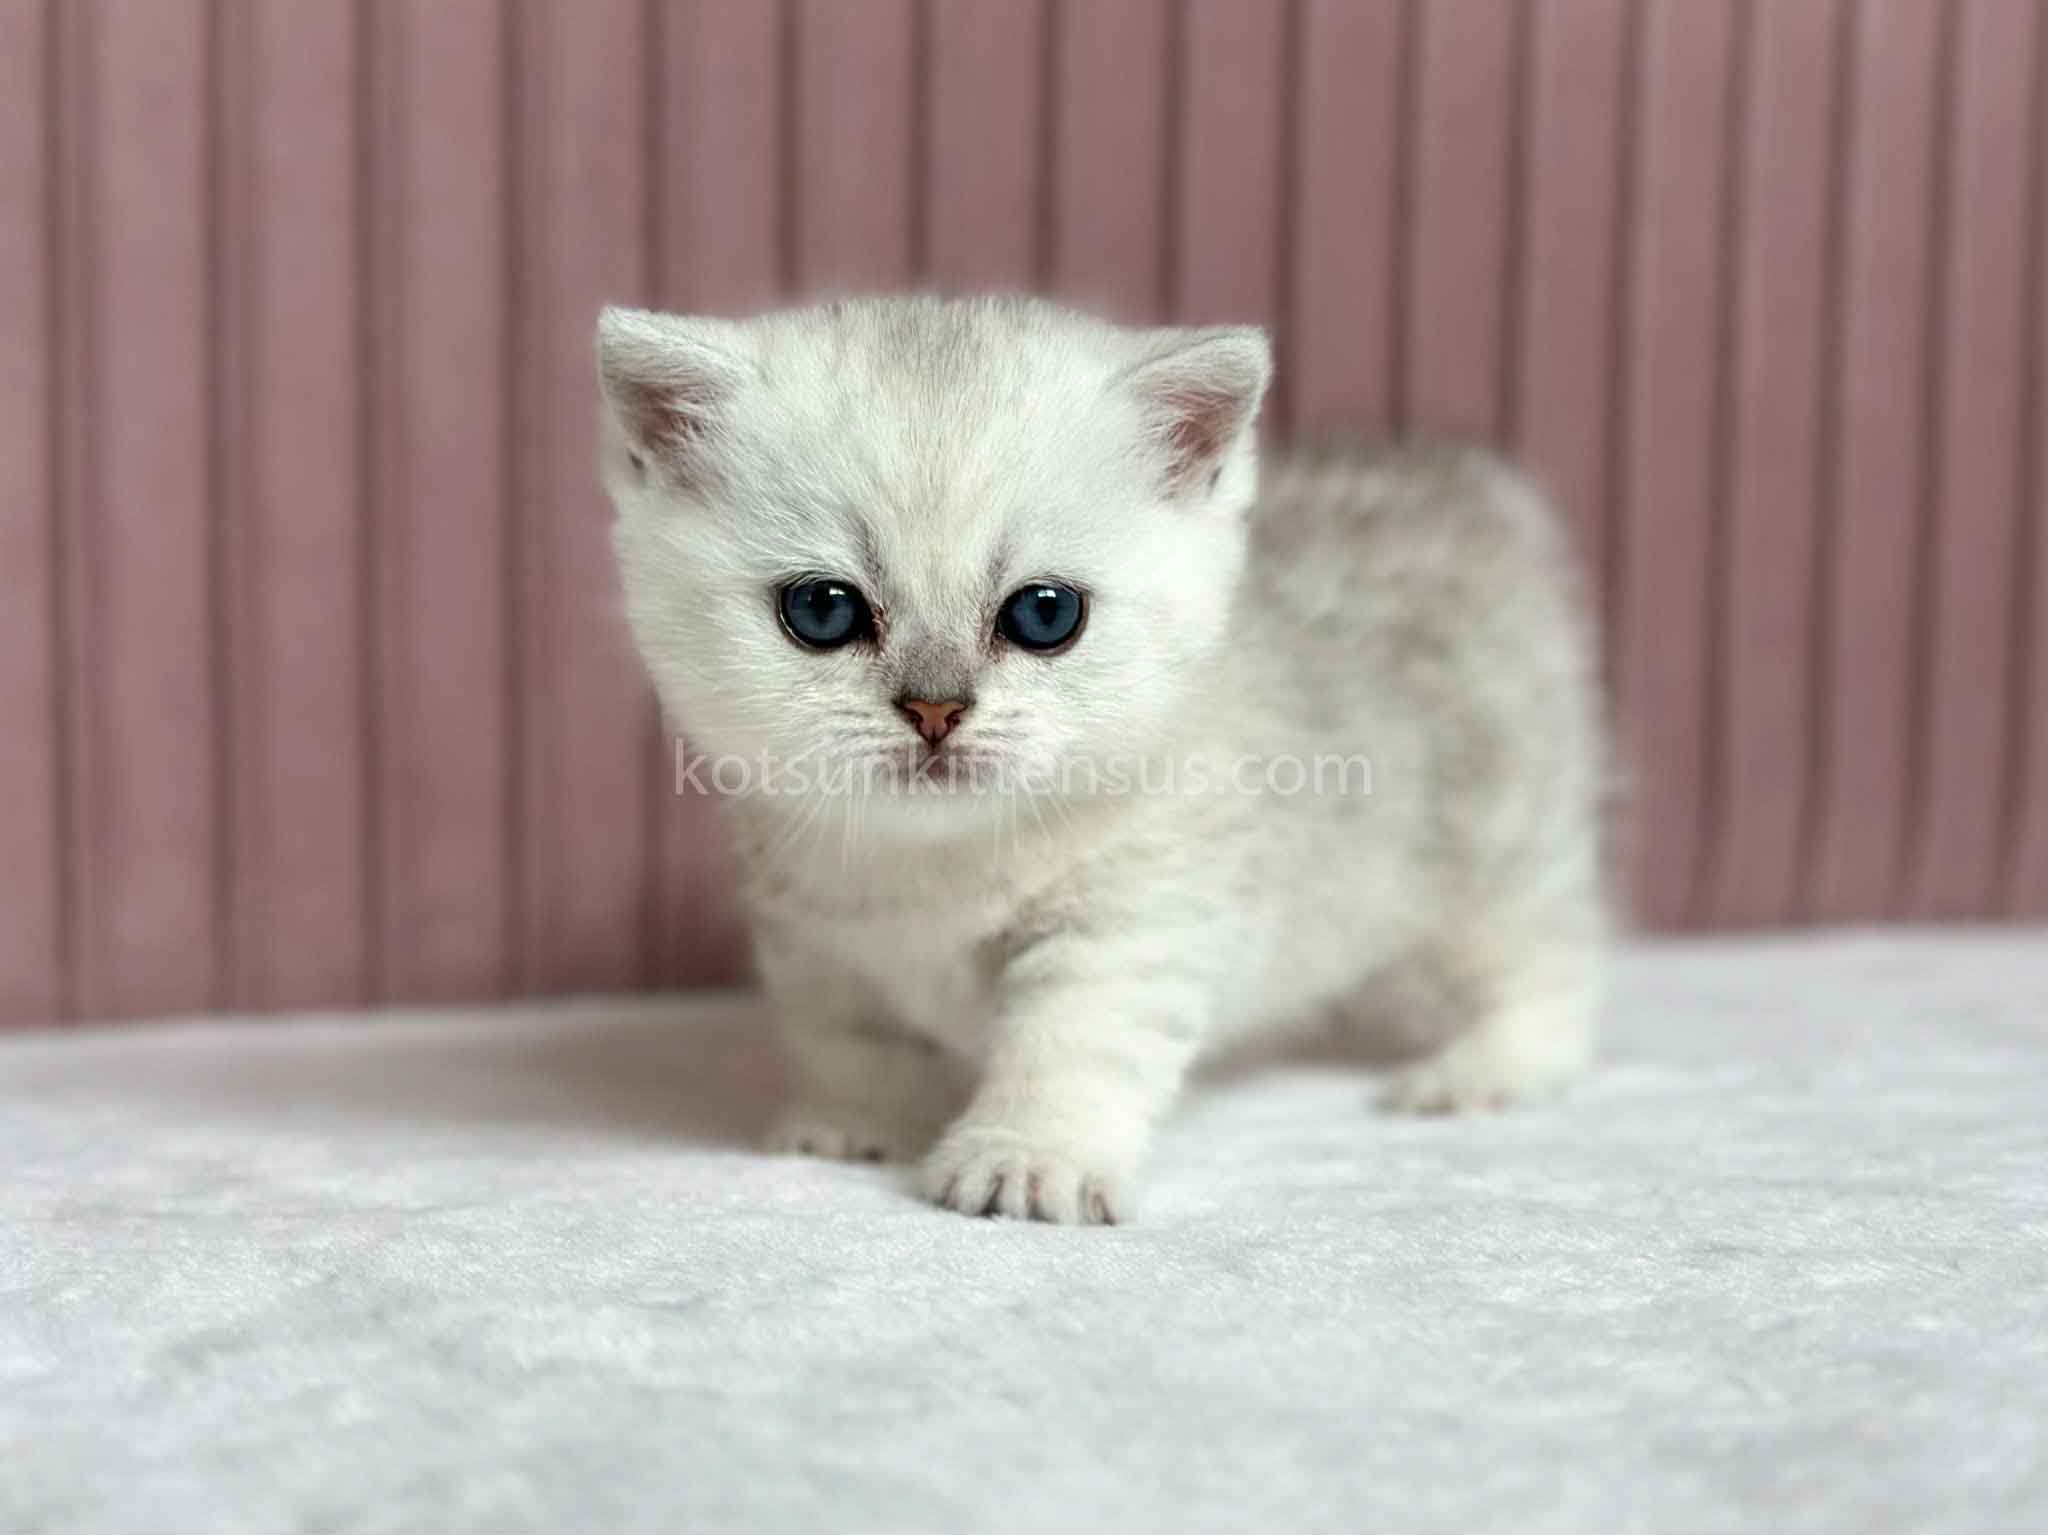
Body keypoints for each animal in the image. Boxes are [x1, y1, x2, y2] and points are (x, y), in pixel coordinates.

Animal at [598, 295, 1606, 1225]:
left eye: (1044, 615)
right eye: (822, 610)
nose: (935, 709)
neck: (932, 862)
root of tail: (1467, 484)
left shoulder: (1132, 918)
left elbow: (1068, 1041)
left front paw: (1026, 1157)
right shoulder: (814, 941)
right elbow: (849, 1040)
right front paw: (856, 1123)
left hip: (1493, 853)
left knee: (1555, 960)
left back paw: (1485, 1068)